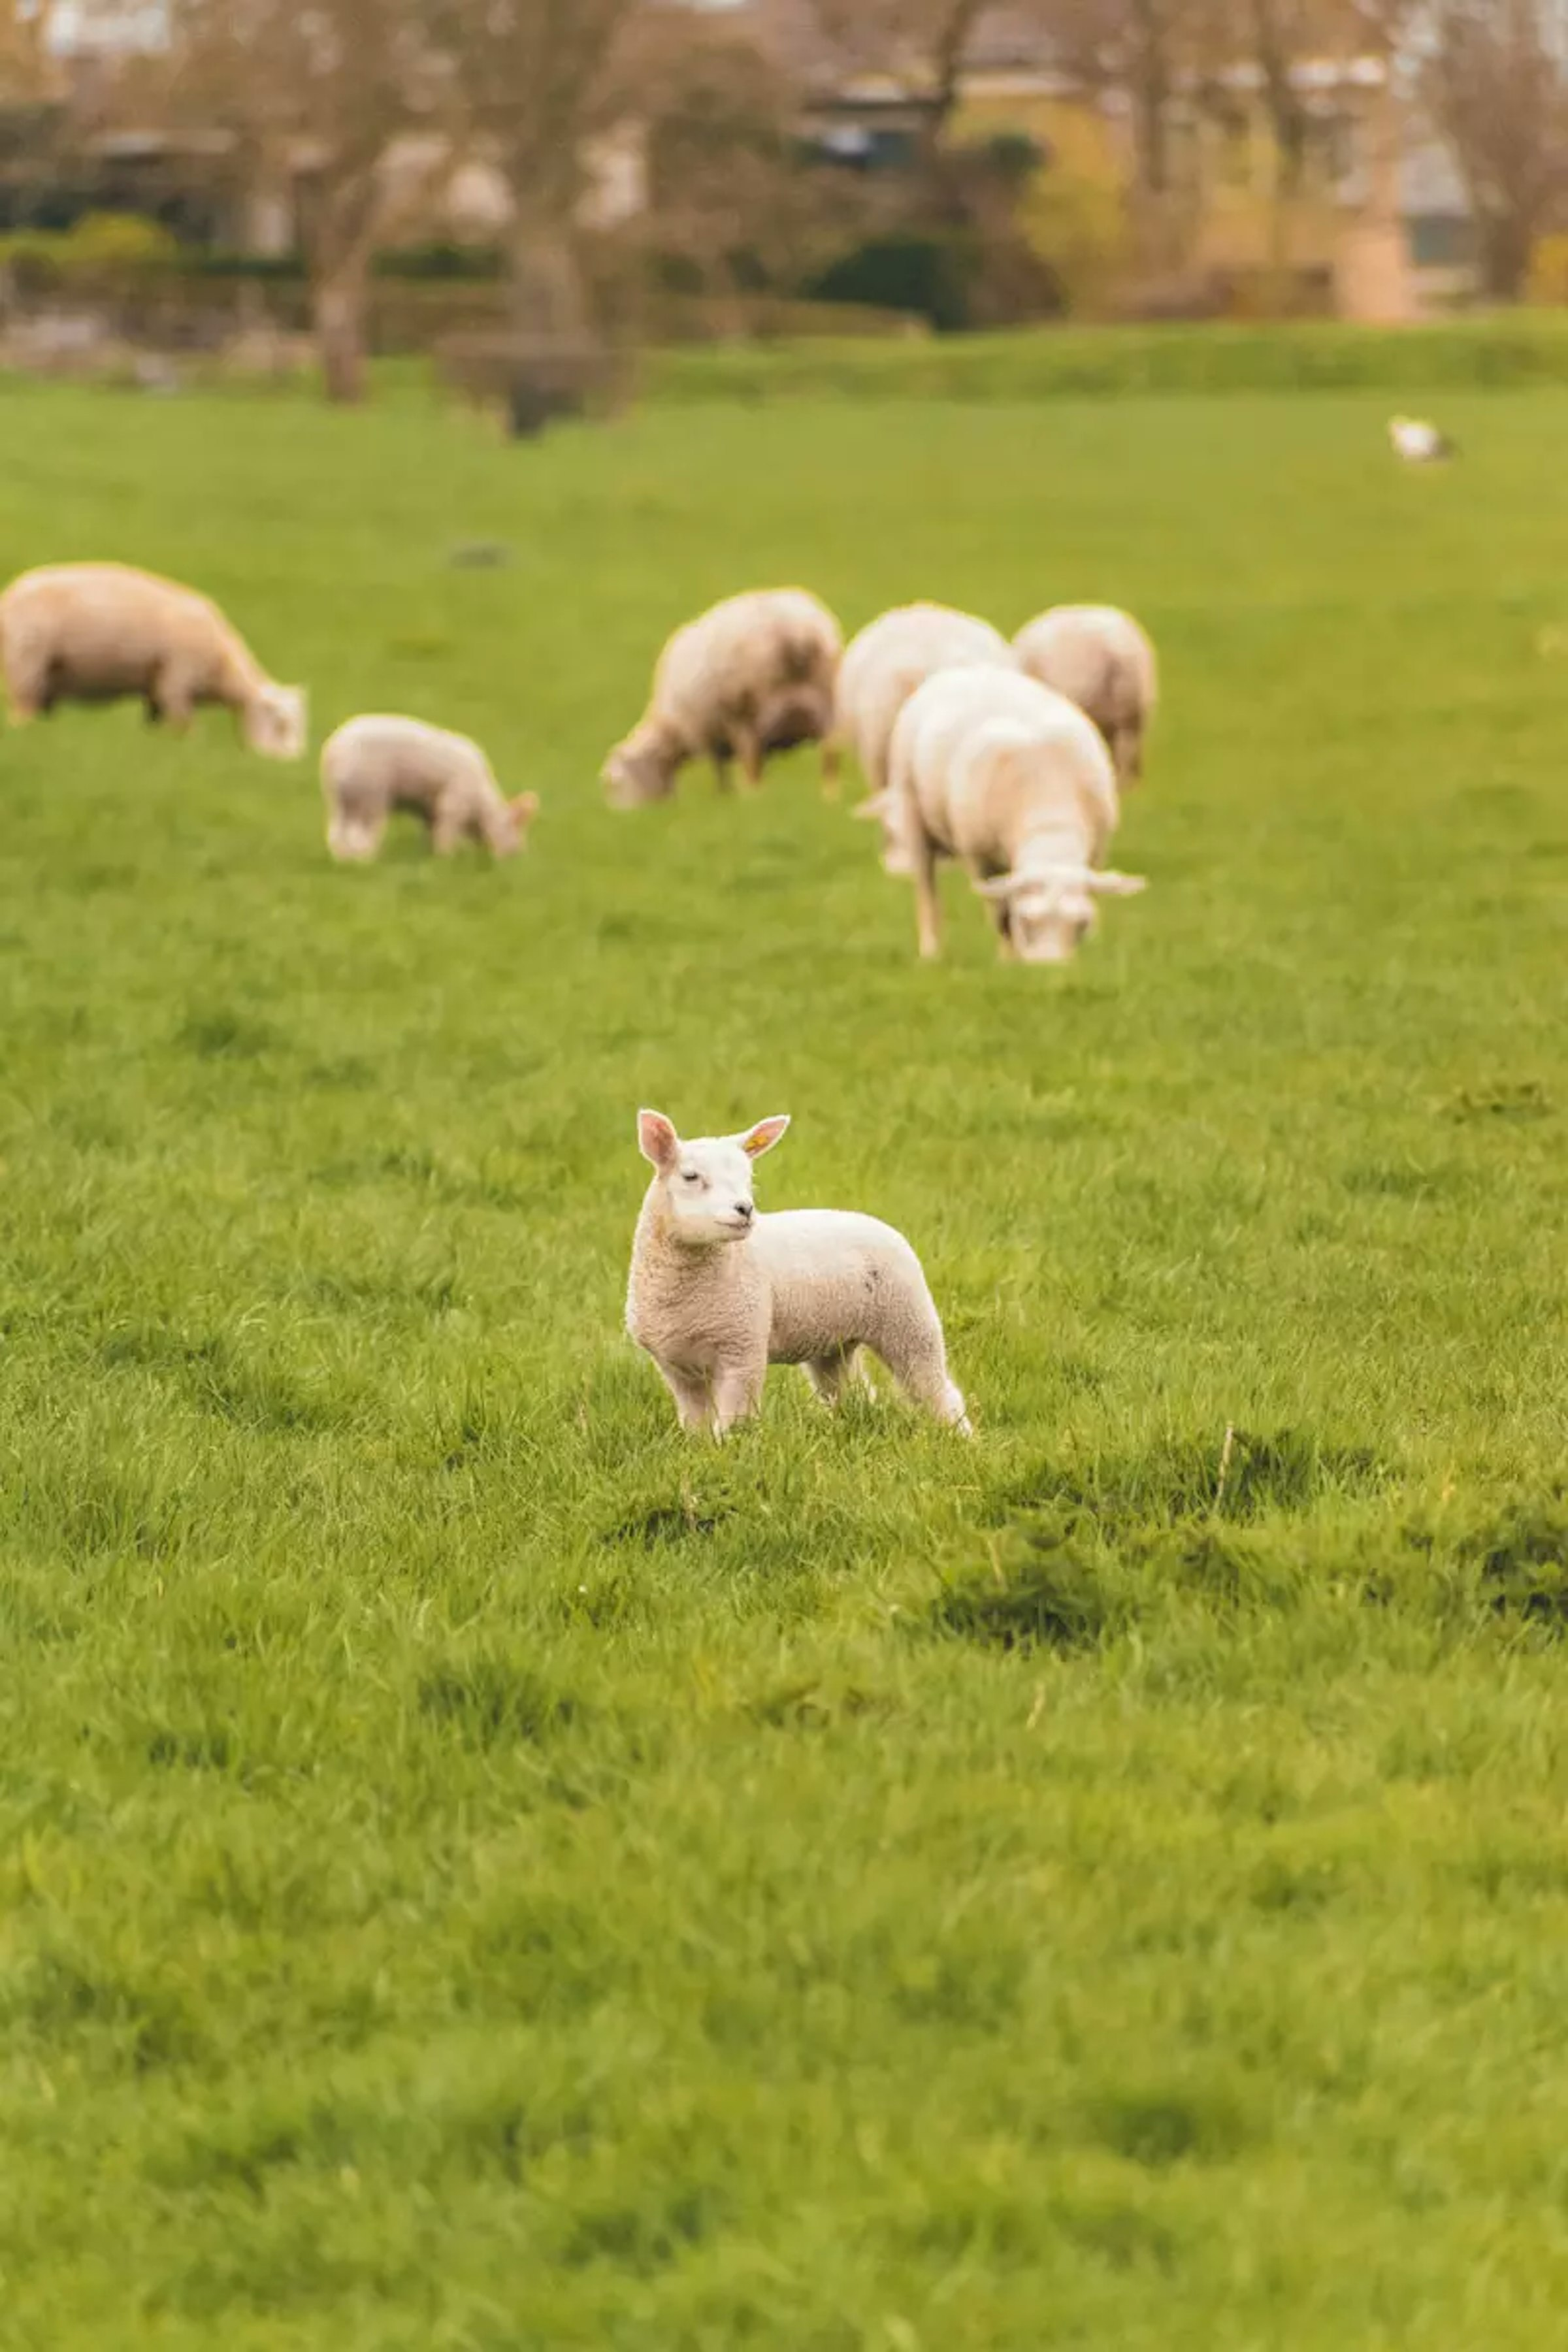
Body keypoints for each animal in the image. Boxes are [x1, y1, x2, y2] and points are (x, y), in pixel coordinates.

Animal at [0, 562, 307, 759]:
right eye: (281, 724)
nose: (291, 764)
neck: (222, 668)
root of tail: (8, 597)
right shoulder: (177, 681)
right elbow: (187, 728)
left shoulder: (157, 689)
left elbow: (155, 724)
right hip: (26, 665)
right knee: (21, 716)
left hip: (43, 676)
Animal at [320, 714, 538, 863]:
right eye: (515, 834)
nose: (517, 858)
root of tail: (333, 753)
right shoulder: (454, 801)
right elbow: (446, 832)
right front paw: (446, 859)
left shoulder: (429, 808)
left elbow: (431, 830)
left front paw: (428, 855)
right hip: (369, 793)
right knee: (359, 835)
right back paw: (369, 860)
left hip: (338, 799)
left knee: (336, 833)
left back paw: (342, 860)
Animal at [603, 588, 843, 806]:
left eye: (615, 784)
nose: (619, 818)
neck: (671, 730)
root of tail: (794, 630)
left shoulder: (710, 735)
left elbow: (720, 772)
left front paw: (724, 799)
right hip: (826, 700)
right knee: (830, 755)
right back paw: (830, 797)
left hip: (746, 713)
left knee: (752, 765)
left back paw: (753, 800)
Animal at [627, 1108, 970, 1440]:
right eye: (691, 1176)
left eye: (748, 1177)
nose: (745, 1209)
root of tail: (876, 1222)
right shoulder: (676, 1367)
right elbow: (695, 1423)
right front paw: (701, 1449)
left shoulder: (743, 1349)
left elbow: (735, 1422)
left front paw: (729, 1449)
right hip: (835, 1343)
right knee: (854, 1392)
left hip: (909, 1319)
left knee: (937, 1390)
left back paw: (961, 1437)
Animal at [887, 663, 1147, 964]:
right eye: (1027, 921)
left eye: (1081, 924)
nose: (1049, 968)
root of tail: (967, 669)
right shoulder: (982, 858)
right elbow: (1001, 912)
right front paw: (1008, 960)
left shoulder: (1096, 853)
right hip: (912, 810)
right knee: (926, 889)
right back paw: (931, 951)